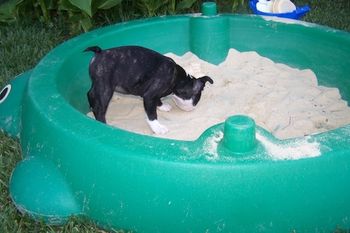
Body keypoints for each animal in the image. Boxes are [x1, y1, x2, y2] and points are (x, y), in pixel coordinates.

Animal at [85, 45, 213, 134]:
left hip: (97, 84)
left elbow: (158, 100)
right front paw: (158, 128)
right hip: (105, 88)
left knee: (90, 93)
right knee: (100, 108)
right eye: (197, 100)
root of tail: (99, 52)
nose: (194, 107)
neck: (177, 78)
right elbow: (152, 114)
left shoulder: (153, 95)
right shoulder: (149, 96)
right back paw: (102, 123)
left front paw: (162, 106)